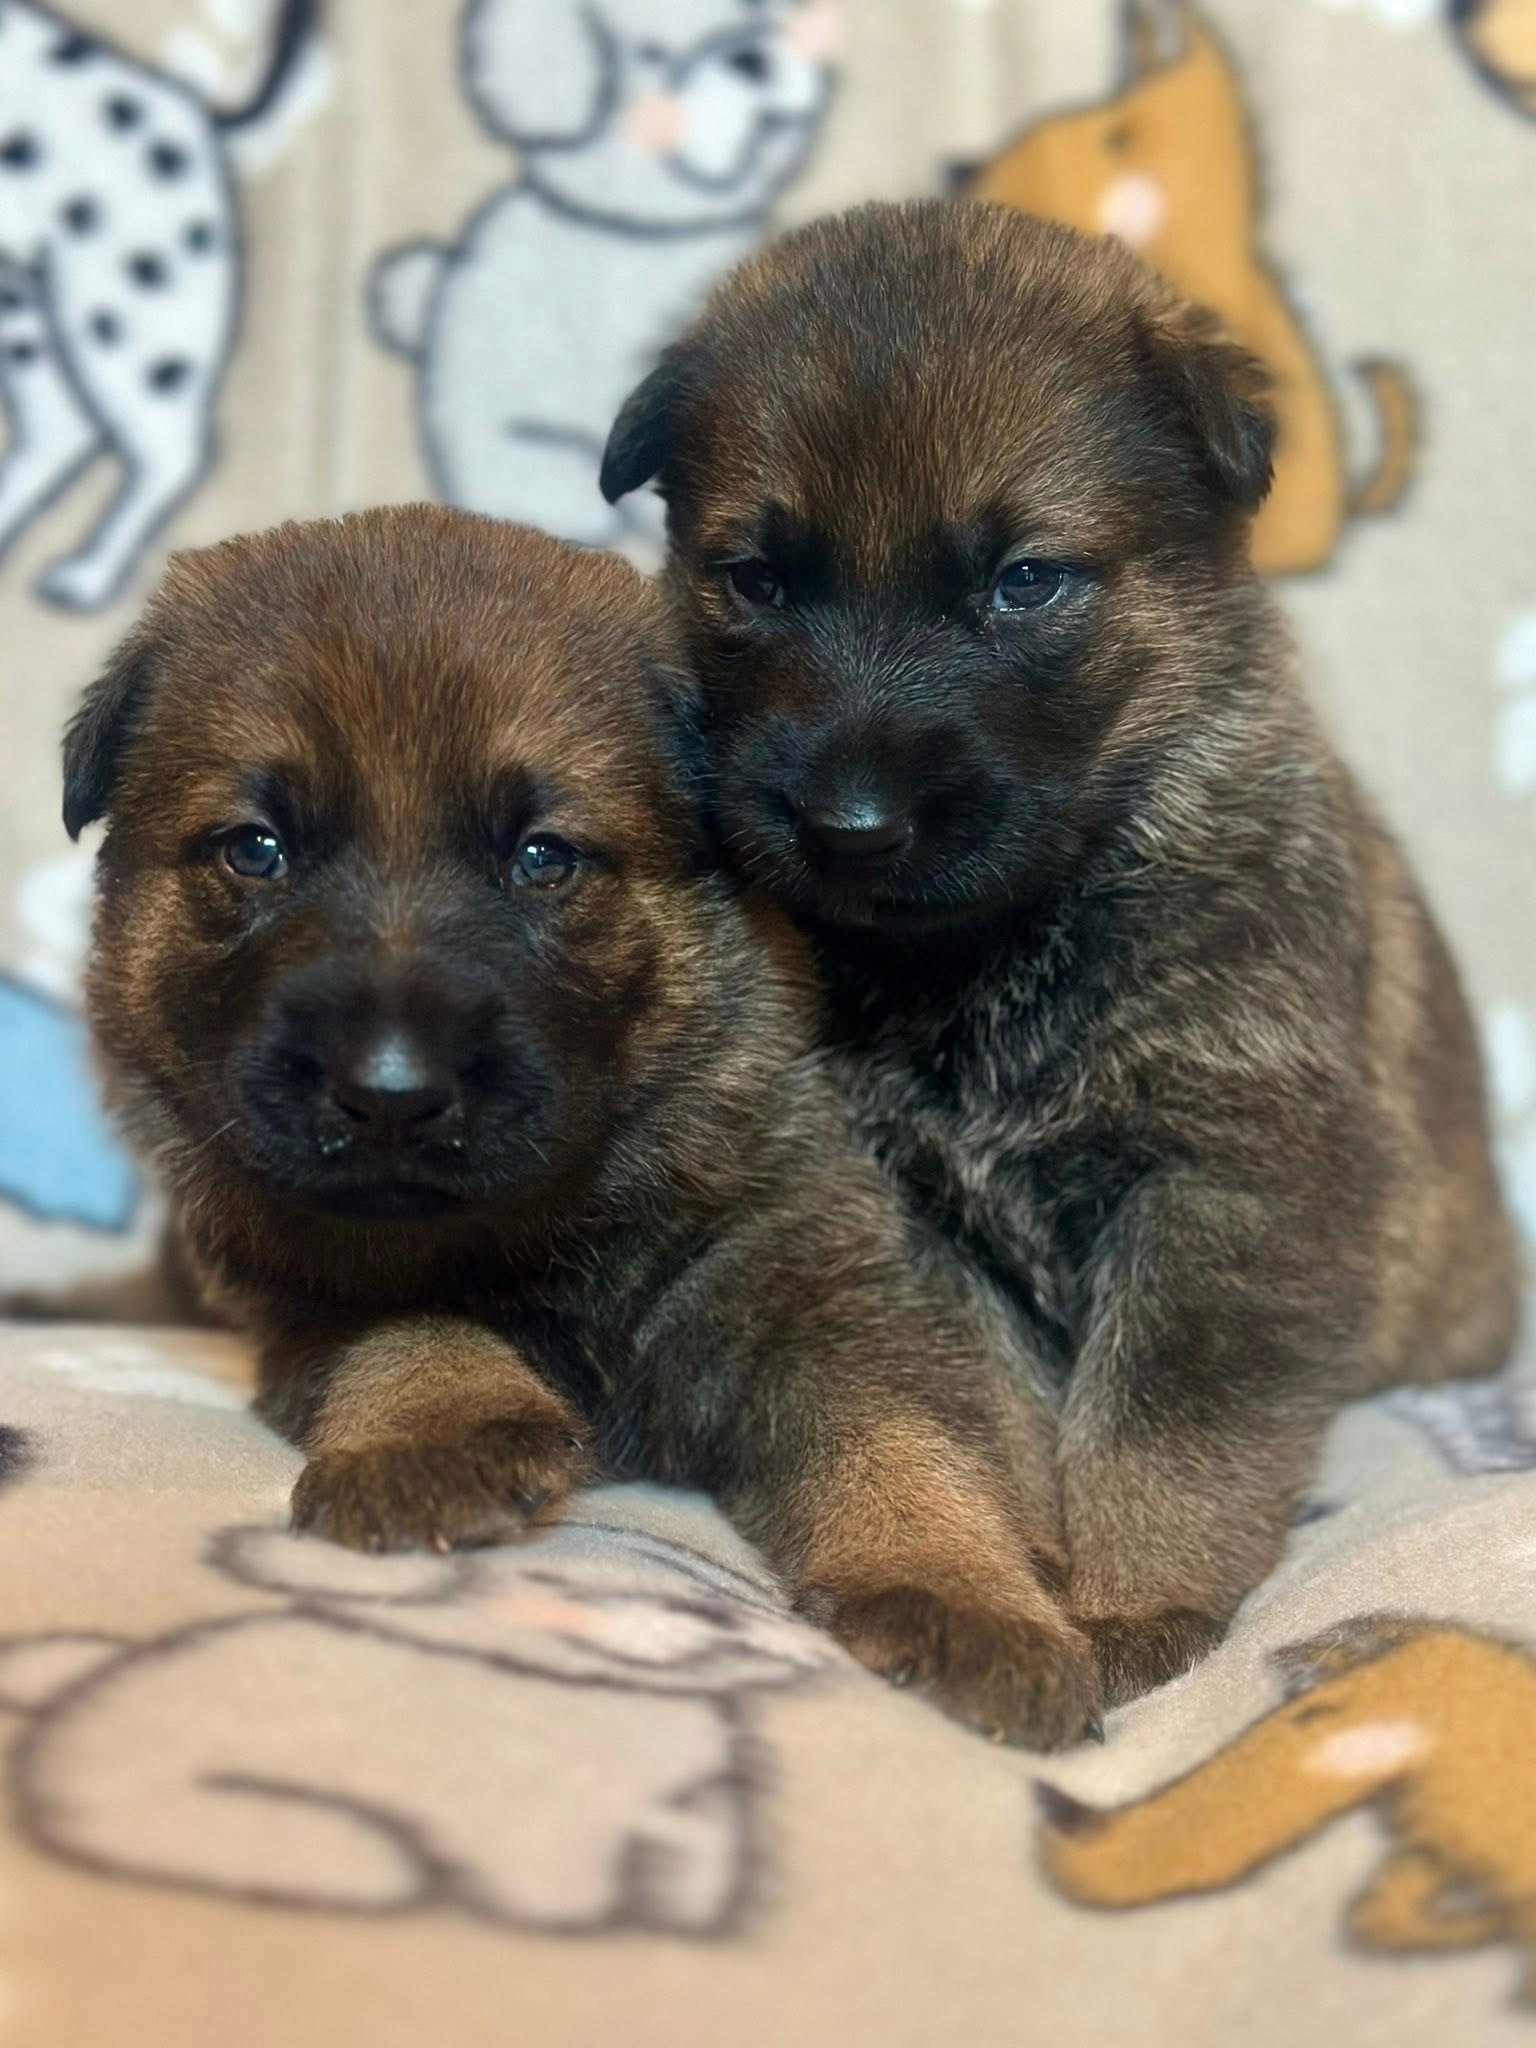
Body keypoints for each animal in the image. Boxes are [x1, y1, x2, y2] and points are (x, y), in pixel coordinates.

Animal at [0, 0, 317, 612]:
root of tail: (195, 115)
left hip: (125, 319)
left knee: (168, 452)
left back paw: (90, 573)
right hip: (29, 314)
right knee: (61, 427)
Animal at [54, 503, 1099, 1748]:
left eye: (543, 856)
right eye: (255, 850)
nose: (390, 1091)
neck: (562, 1225)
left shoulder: (832, 1292)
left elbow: (911, 1435)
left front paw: (961, 1589)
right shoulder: (300, 1282)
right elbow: (409, 1325)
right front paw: (433, 1429)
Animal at [599, 199, 1520, 1706]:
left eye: (1025, 583)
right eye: (754, 581)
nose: (850, 825)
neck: (1002, 952)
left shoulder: (1225, 1192)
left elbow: (1164, 1435)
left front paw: (1138, 1604)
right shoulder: (909, 1224)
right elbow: (980, 1418)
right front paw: (1007, 1573)